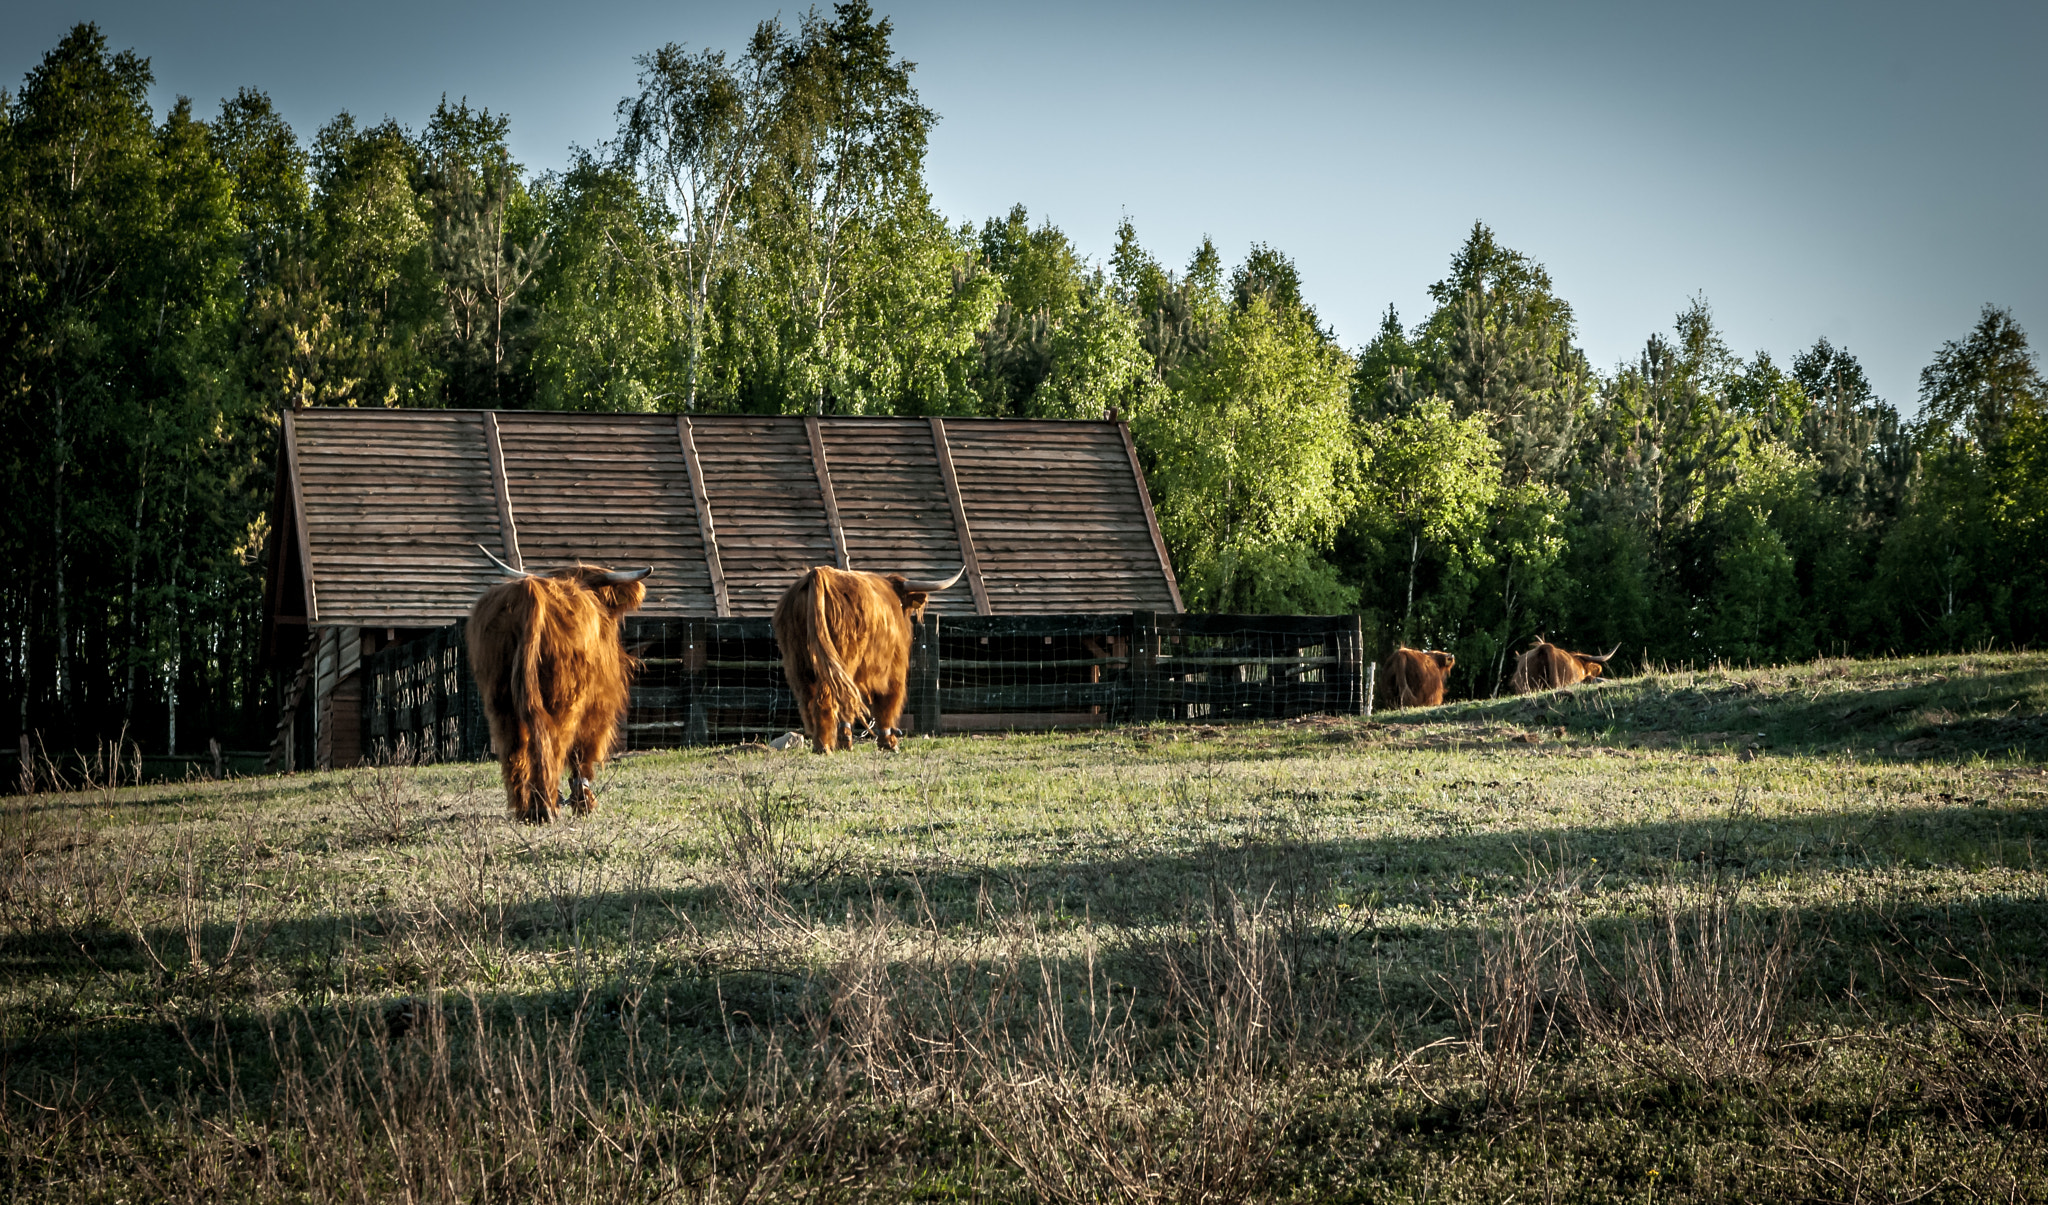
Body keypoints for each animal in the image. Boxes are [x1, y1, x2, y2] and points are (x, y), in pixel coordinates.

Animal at [468, 549, 651, 823]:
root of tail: (531, 594)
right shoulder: (598, 705)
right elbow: (581, 754)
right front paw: (584, 803)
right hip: (565, 698)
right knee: (552, 741)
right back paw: (546, 807)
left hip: (499, 699)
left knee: (514, 745)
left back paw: (525, 808)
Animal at [774, 565, 966, 754]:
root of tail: (818, 574)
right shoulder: (893, 669)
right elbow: (886, 702)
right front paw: (889, 742)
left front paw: (846, 742)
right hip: (838, 663)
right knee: (826, 699)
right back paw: (824, 746)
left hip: (798, 663)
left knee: (809, 699)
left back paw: (819, 741)